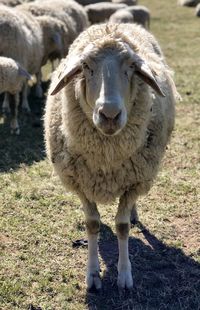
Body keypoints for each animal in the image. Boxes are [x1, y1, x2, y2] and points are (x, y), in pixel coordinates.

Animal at [44, 23, 178, 290]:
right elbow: (92, 224)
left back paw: (135, 214)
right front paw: (93, 274)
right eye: (86, 66)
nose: (109, 115)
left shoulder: (133, 182)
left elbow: (122, 226)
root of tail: (114, 23)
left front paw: (125, 275)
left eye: (132, 67)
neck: (106, 158)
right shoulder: (81, 183)